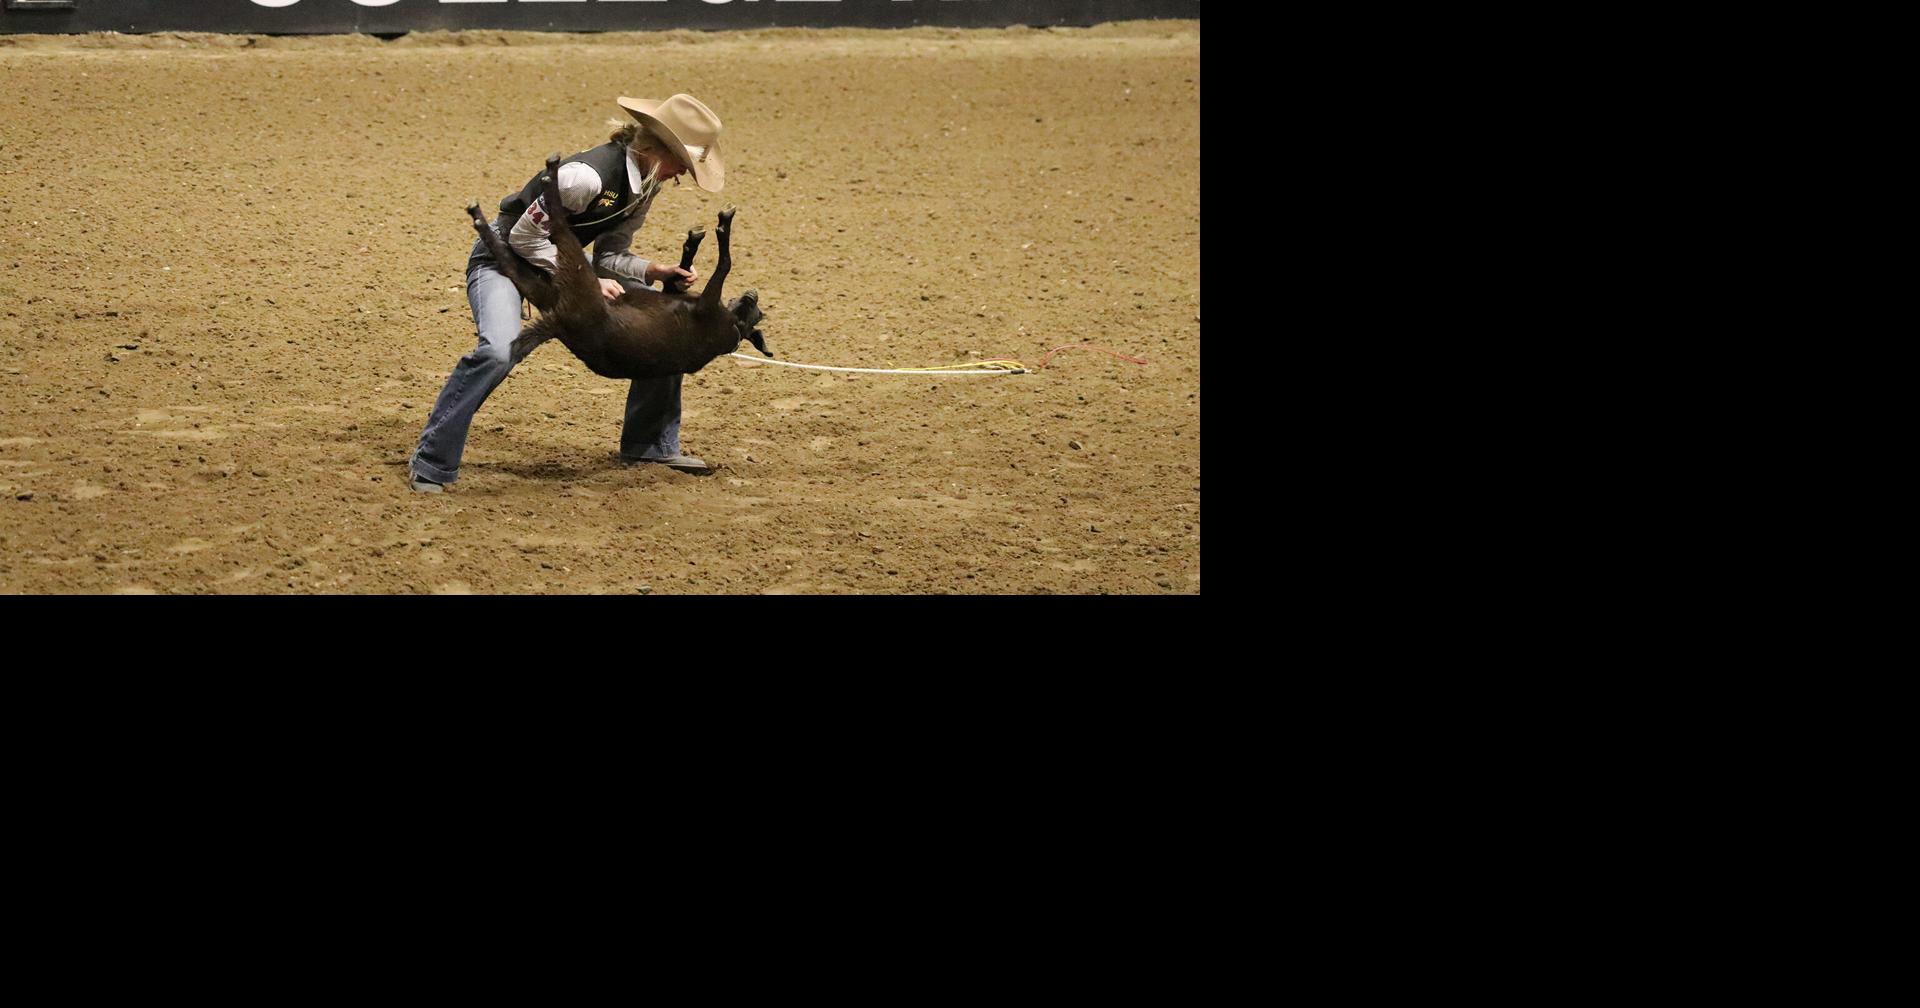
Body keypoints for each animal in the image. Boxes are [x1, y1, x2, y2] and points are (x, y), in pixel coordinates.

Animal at [464, 153, 771, 380]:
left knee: (555, 228)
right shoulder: (682, 294)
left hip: (574, 281)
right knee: (509, 257)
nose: (752, 294)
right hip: (544, 287)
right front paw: (693, 240)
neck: (732, 324)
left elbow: (726, 263)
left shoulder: (707, 305)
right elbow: (682, 273)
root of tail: (558, 323)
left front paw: (723, 223)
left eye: (755, 312)